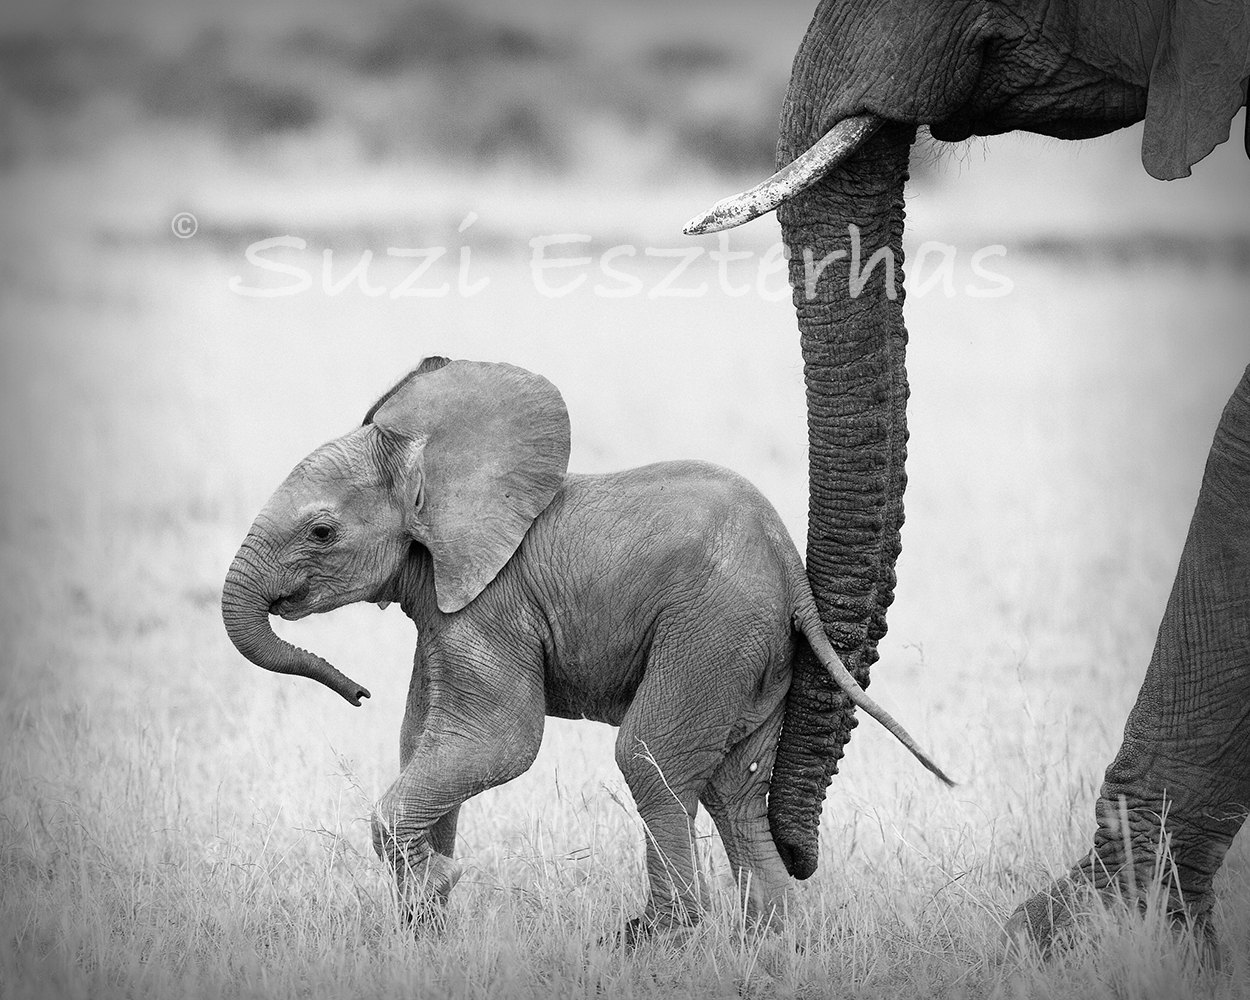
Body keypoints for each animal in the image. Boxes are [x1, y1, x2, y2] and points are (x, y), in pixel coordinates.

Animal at [222, 357, 945, 940]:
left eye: (321, 532)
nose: (357, 693)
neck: (436, 465)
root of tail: (791, 570)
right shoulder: (445, 606)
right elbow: (422, 741)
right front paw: (423, 926)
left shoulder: (492, 605)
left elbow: (497, 742)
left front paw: (436, 885)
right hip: (754, 652)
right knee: (733, 789)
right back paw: (769, 943)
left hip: (714, 629)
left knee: (649, 756)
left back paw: (651, 940)